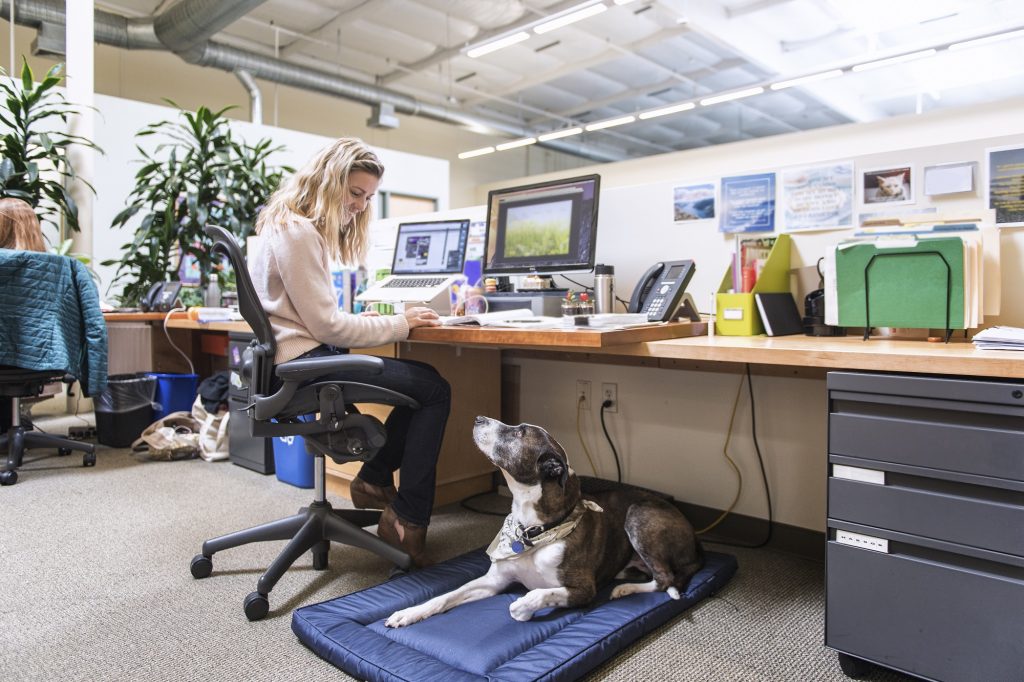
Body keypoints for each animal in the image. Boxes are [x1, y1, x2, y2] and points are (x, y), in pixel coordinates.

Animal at [385, 413, 704, 626]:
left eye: (519, 433)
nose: (478, 418)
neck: (534, 529)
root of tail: (696, 542)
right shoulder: (493, 582)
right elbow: (446, 596)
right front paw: (408, 613)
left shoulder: (583, 589)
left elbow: (539, 594)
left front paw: (523, 607)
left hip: (638, 515)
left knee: (665, 578)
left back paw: (625, 589)